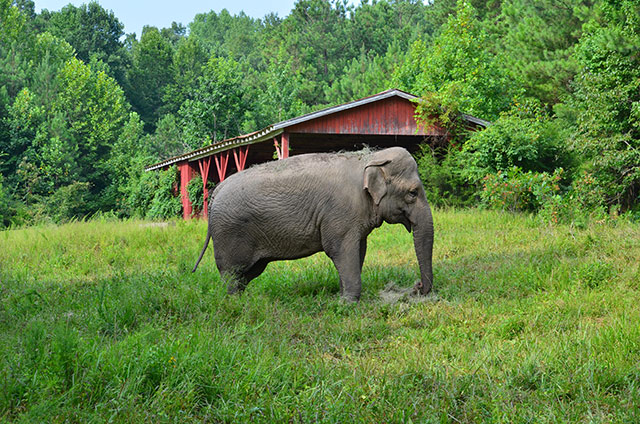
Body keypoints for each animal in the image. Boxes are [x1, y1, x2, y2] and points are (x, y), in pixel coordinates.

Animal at [192, 147, 436, 302]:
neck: (368, 159)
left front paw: (341, 297)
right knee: (232, 274)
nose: (417, 287)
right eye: (413, 193)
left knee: (248, 272)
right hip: (229, 234)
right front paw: (348, 303)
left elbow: (358, 251)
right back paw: (235, 303)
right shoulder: (339, 215)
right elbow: (340, 250)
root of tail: (217, 191)